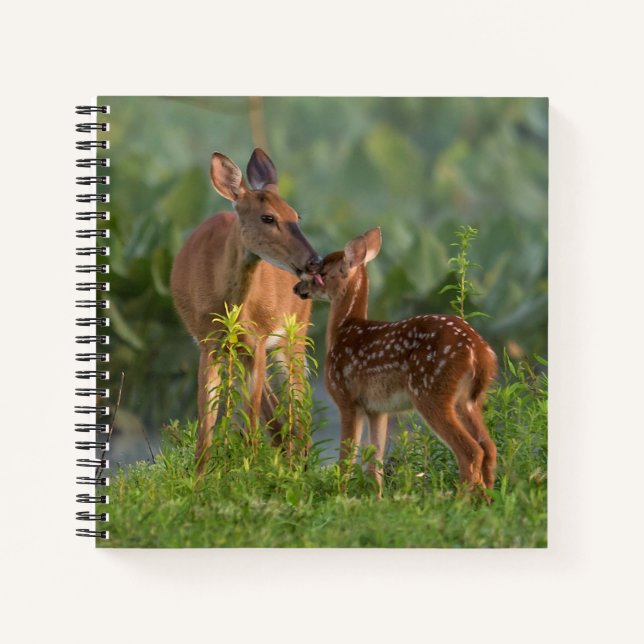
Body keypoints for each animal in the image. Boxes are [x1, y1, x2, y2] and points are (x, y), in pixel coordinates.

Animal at [170, 149, 323, 472]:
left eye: (297, 216)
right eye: (268, 217)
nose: (314, 261)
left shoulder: (260, 341)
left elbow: (250, 422)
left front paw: (249, 472)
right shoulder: (208, 343)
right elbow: (207, 425)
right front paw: (200, 477)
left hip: (295, 335)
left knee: (298, 402)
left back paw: (299, 465)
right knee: (276, 411)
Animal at [293, 227, 497, 497]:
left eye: (321, 274)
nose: (297, 287)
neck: (344, 329)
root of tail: (480, 352)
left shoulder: (346, 397)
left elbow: (347, 457)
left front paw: (340, 494)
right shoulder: (378, 409)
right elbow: (375, 461)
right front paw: (376, 498)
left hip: (431, 392)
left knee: (470, 450)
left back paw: (460, 500)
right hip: (469, 400)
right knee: (489, 447)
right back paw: (487, 499)